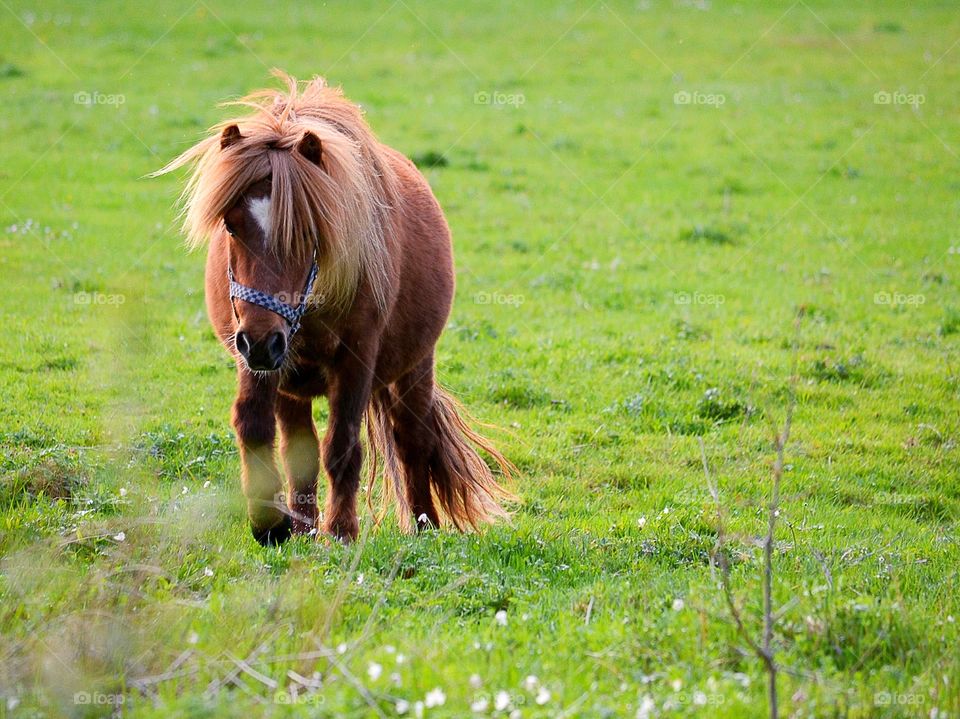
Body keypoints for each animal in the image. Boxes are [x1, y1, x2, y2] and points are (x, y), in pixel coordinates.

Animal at [154, 71, 514, 544]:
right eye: (230, 225)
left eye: (308, 229)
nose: (263, 342)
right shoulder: (256, 354)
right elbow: (255, 425)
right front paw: (270, 523)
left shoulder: (355, 359)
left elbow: (342, 446)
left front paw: (342, 531)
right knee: (299, 443)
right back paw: (304, 526)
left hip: (414, 365)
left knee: (412, 438)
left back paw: (423, 526)